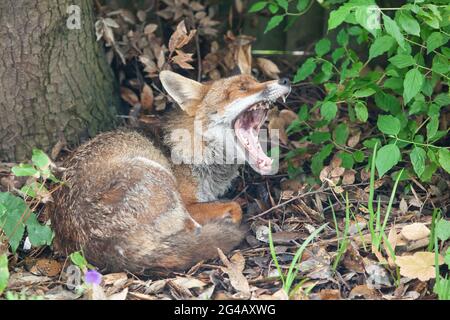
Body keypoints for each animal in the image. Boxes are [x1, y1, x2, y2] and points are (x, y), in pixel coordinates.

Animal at [51, 70, 292, 276]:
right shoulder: (189, 203)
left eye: (255, 80)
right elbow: (234, 207)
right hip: (158, 175)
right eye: (242, 88)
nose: (285, 80)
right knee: (193, 231)